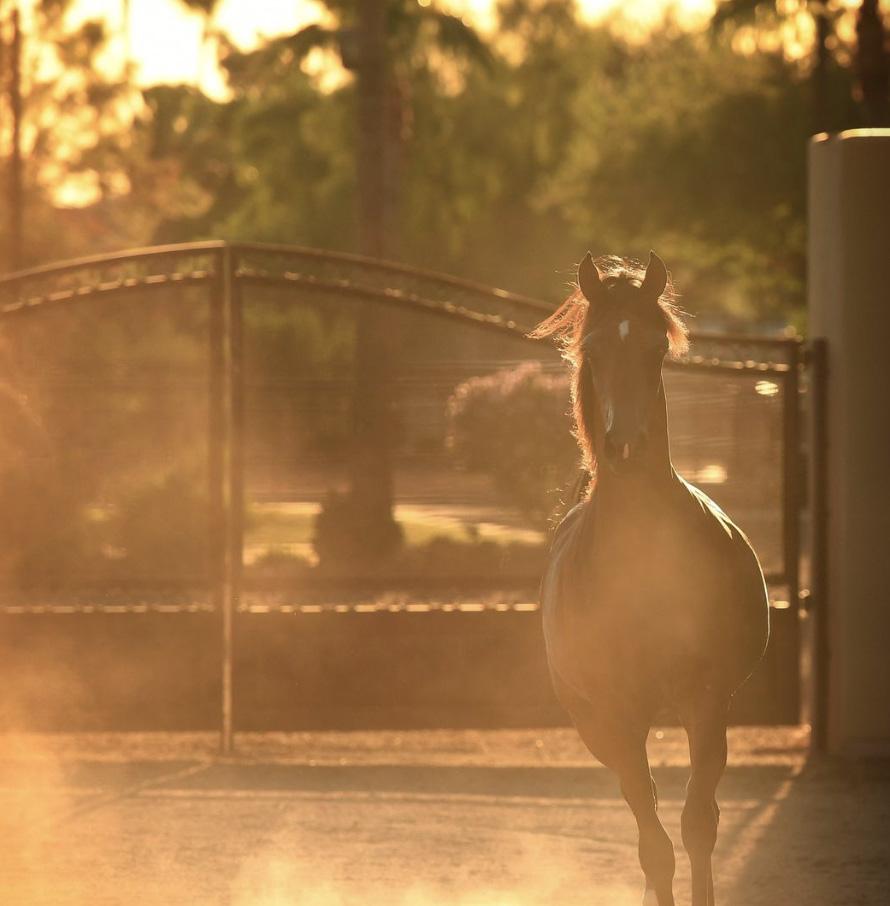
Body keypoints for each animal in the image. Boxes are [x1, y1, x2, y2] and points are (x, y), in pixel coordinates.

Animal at [530, 252, 769, 906]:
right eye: (592, 348)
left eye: (656, 348)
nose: (626, 445)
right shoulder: (614, 716)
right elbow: (654, 843)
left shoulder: (707, 702)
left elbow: (697, 827)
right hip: (599, 727)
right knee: (646, 812)